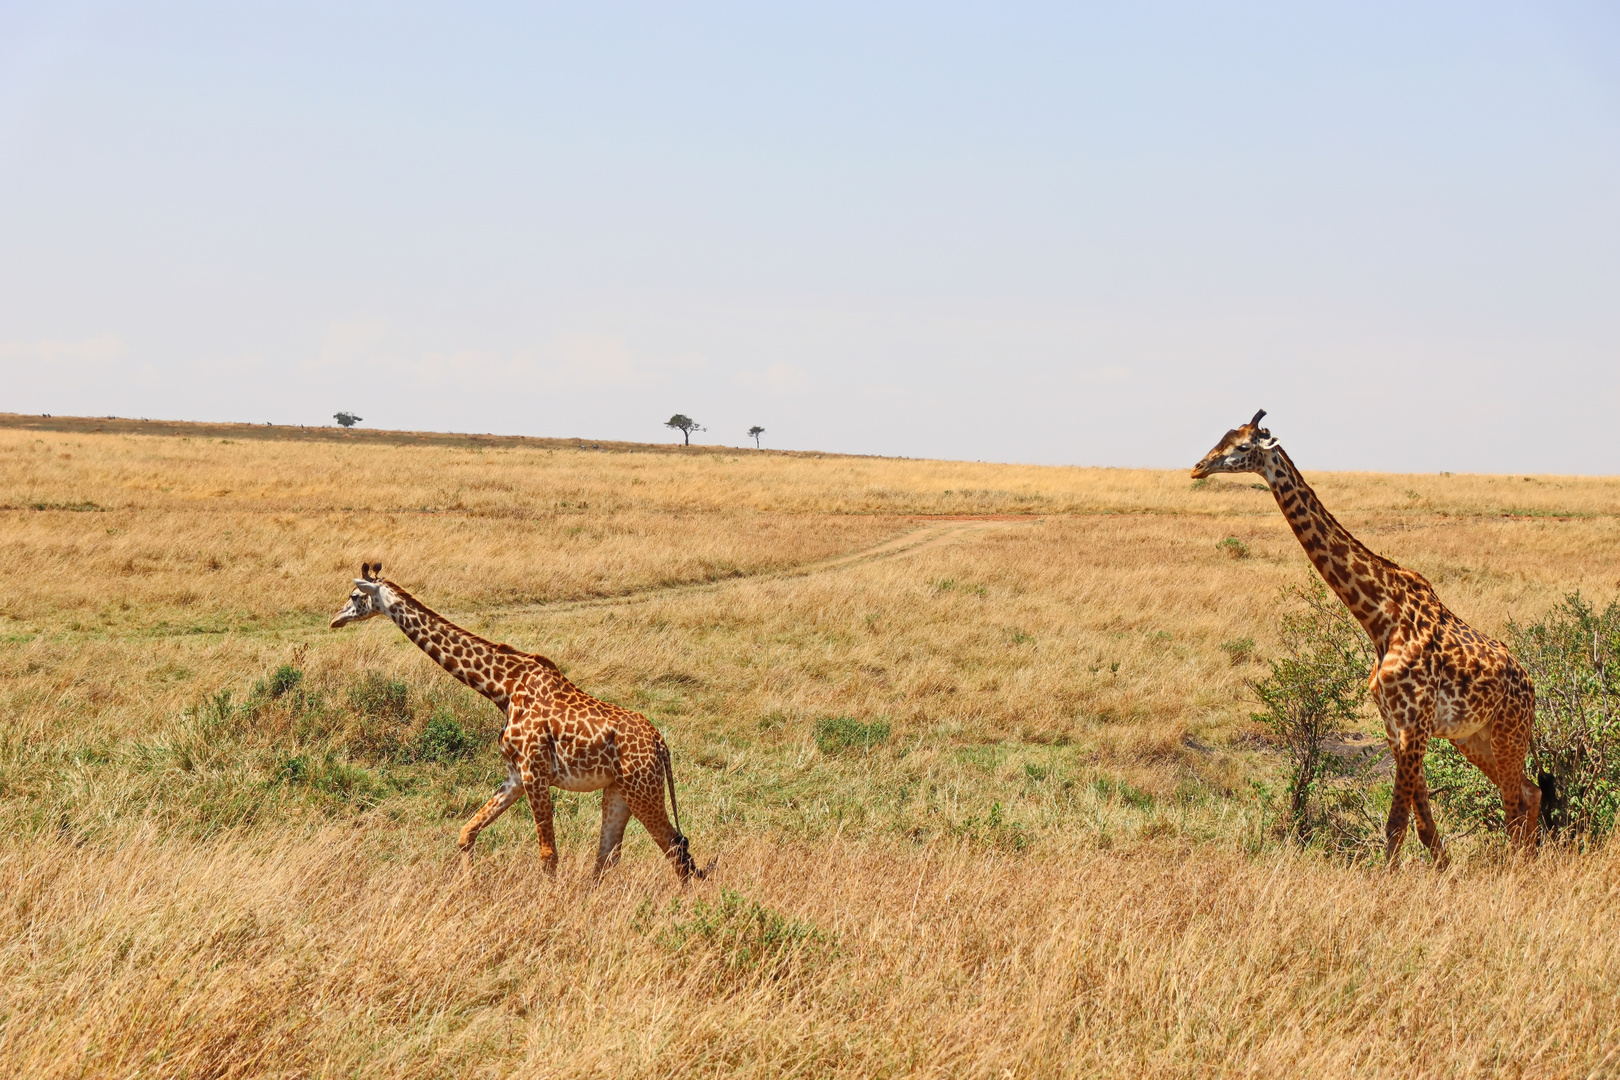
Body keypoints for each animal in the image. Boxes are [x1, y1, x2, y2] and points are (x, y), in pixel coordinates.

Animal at [327, 563, 709, 880]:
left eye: (355, 596)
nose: (335, 620)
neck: (502, 688)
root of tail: (661, 744)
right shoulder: (516, 775)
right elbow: (467, 833)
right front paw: (467, 887)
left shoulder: (535, 773)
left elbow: (548, 855)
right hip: (618, 791)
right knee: (608, 859)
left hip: (642, 789)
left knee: (676, 850)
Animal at [1192, 409, 1542, 867]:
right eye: (1224, 437)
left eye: (1243, 446)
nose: (1198, 467)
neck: (1380, 619)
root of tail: (1531, 684)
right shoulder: (1396, 726)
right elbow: (1423, 825)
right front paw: (1442, 871)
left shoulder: (1413, 724)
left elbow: (1396, 823)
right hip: (1473, 737)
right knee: (1530, 792)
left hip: (1508, 732)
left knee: (1514, 803)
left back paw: (1518, 868)